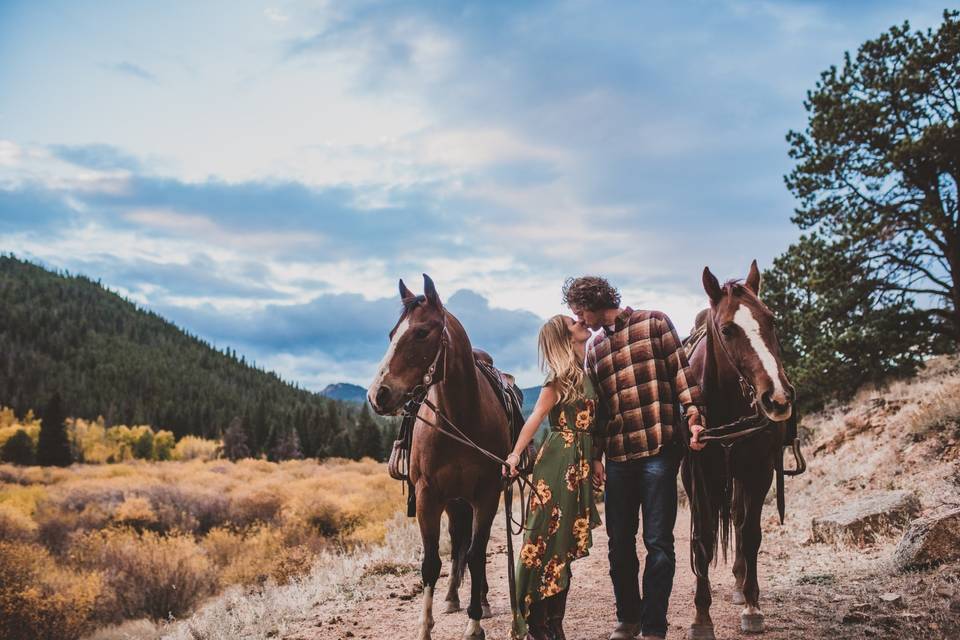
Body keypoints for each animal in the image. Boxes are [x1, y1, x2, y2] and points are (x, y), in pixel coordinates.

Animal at [368, 276, 512, 640]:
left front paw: (474, 624)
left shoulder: (487, 495)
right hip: (454, 501)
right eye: (391, 334)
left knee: (471, 549)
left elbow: (477, 556)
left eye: (421, 332)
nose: (378, 394)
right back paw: (451, 598)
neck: (460, 417)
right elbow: (432, 561)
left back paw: (482, 602)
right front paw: (425, 627)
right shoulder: (427, 495)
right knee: (458, 542)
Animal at [684, 260, 796, 640]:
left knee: (738, 517)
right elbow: (703, 538)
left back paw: (741, 584)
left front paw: (751, 604)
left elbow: (750, 535)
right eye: (727, 330)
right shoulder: (698, 478)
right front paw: (701, 616)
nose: (777, 397)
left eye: (771, 320)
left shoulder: (758, 471)